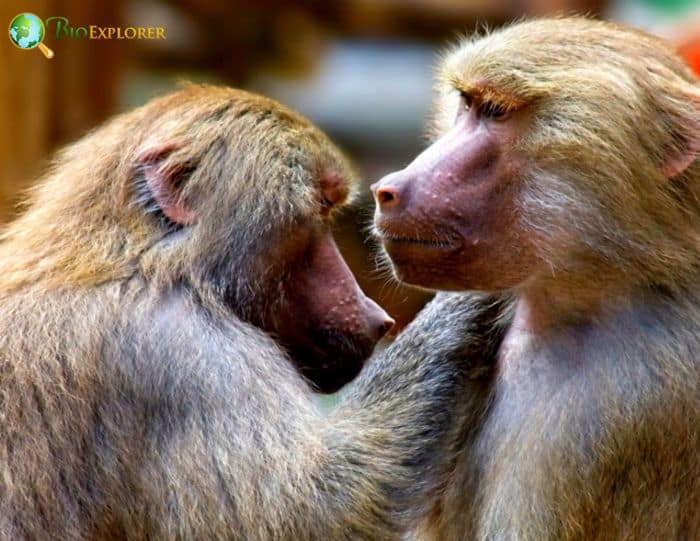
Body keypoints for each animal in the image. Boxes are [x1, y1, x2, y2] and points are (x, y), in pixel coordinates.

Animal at [0, 84, 499, 540]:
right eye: (320, 210)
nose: (377, 316)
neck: (139, 259)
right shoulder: (184, 353)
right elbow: (311, 513)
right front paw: (467, 302)